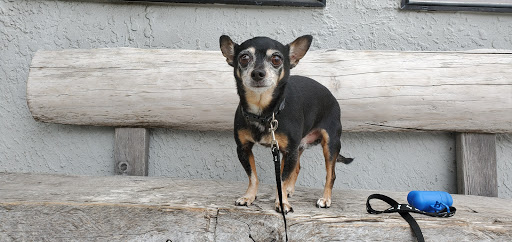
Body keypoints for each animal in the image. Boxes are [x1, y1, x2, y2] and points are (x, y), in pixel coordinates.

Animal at [220, 34, 352, 214]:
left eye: (276, 59)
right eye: (244, 58)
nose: (258, 73)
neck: (265, 113)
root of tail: (331, 96)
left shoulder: (289, 151)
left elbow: (281, 179)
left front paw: (281, 202)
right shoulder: (244, 148)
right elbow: (253, 176)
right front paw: (249, 197)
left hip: (330, 144)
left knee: (330, 174)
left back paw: (325, 199)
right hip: (297, 147)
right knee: (297, 167)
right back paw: (290, 190)